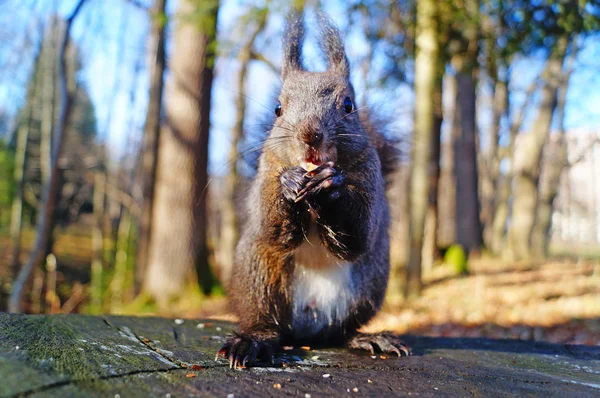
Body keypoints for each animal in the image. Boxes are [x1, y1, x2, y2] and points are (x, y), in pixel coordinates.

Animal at [217, 10, 412, 370]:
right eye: (278, 109)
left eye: (348, 105)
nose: (310, 134)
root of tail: (307, 332)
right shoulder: (267, 171)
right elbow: (273, 229)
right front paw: (291, 182)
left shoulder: (371, 174)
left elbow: (358, 235)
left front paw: (329, 185)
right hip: (259, 278)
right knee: (266, 323)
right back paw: (252, 340)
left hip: (367, 287)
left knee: (341, 332)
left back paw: (367, 338)